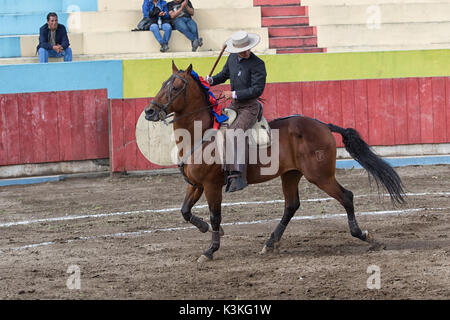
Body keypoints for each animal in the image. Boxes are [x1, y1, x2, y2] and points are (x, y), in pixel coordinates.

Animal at [146, 62, 406, 262]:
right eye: (161, 84)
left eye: (176, 87)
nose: (149, 111)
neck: (201, 135)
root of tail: (322, 125)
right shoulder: (195, 185)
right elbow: (185, 211)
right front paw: (205, 229)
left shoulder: (211, 186)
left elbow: (215, 215)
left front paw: (210, 250)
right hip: (290, 174)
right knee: (291, 205)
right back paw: (271, 242)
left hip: (320, 176)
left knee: (346, 197)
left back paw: (364, 236)